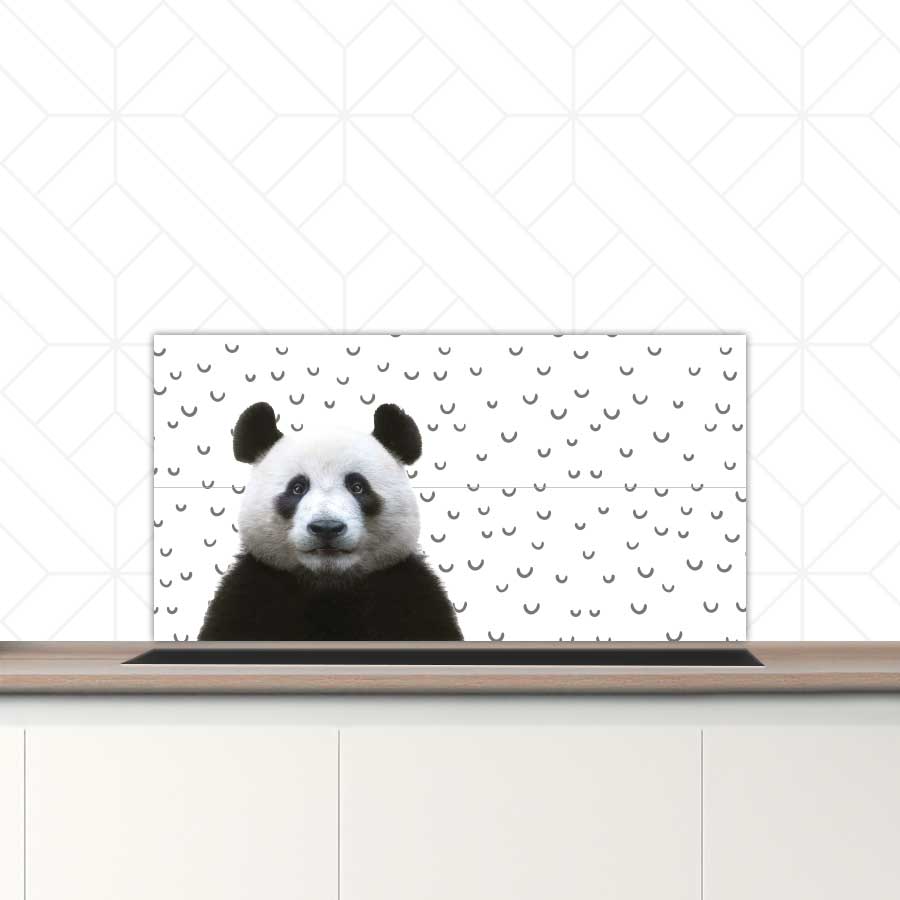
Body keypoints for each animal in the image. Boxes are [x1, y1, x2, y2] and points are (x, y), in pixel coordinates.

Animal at [198, 400, 462, 641]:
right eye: (297, 488)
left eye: (357, 486)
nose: (326, 528)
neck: (328, 585)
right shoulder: (251, 593)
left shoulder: (407, 592)